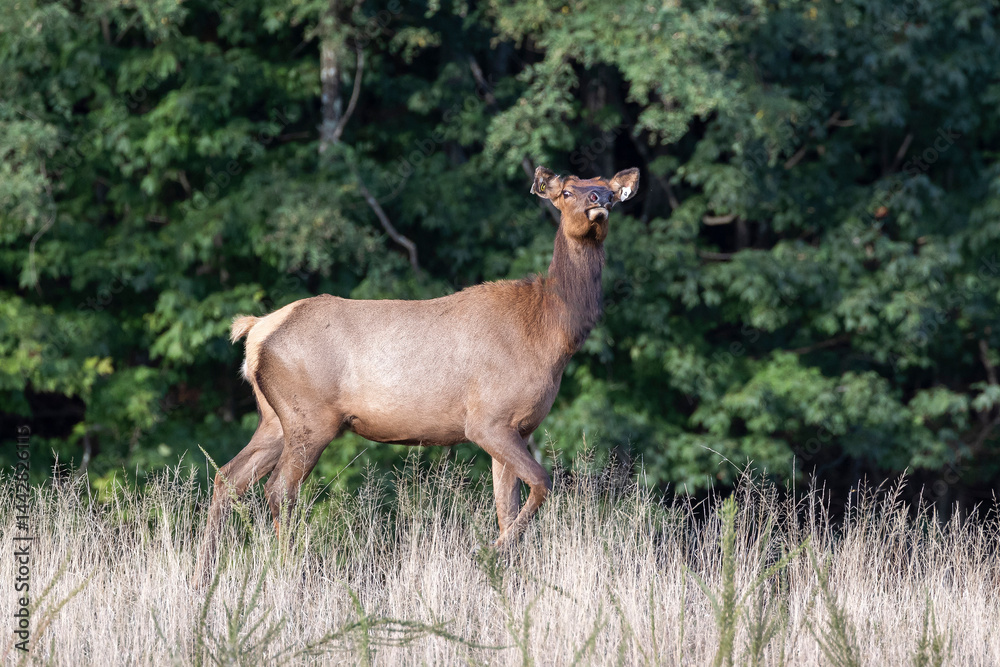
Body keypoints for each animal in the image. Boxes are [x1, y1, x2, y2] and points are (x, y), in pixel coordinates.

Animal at [195, 165, 639, 583]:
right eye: (567, 192)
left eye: (609, 189)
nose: (600, 200)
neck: (550, 334)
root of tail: (255, 332)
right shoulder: (487, 420)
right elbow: (543, 484)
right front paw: (485, 556)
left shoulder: (520, 427)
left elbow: (506, 509)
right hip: (310, 417)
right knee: (279, 489)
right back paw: (287, 572)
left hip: (275, 418)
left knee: (228, 477)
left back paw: (207, 572)